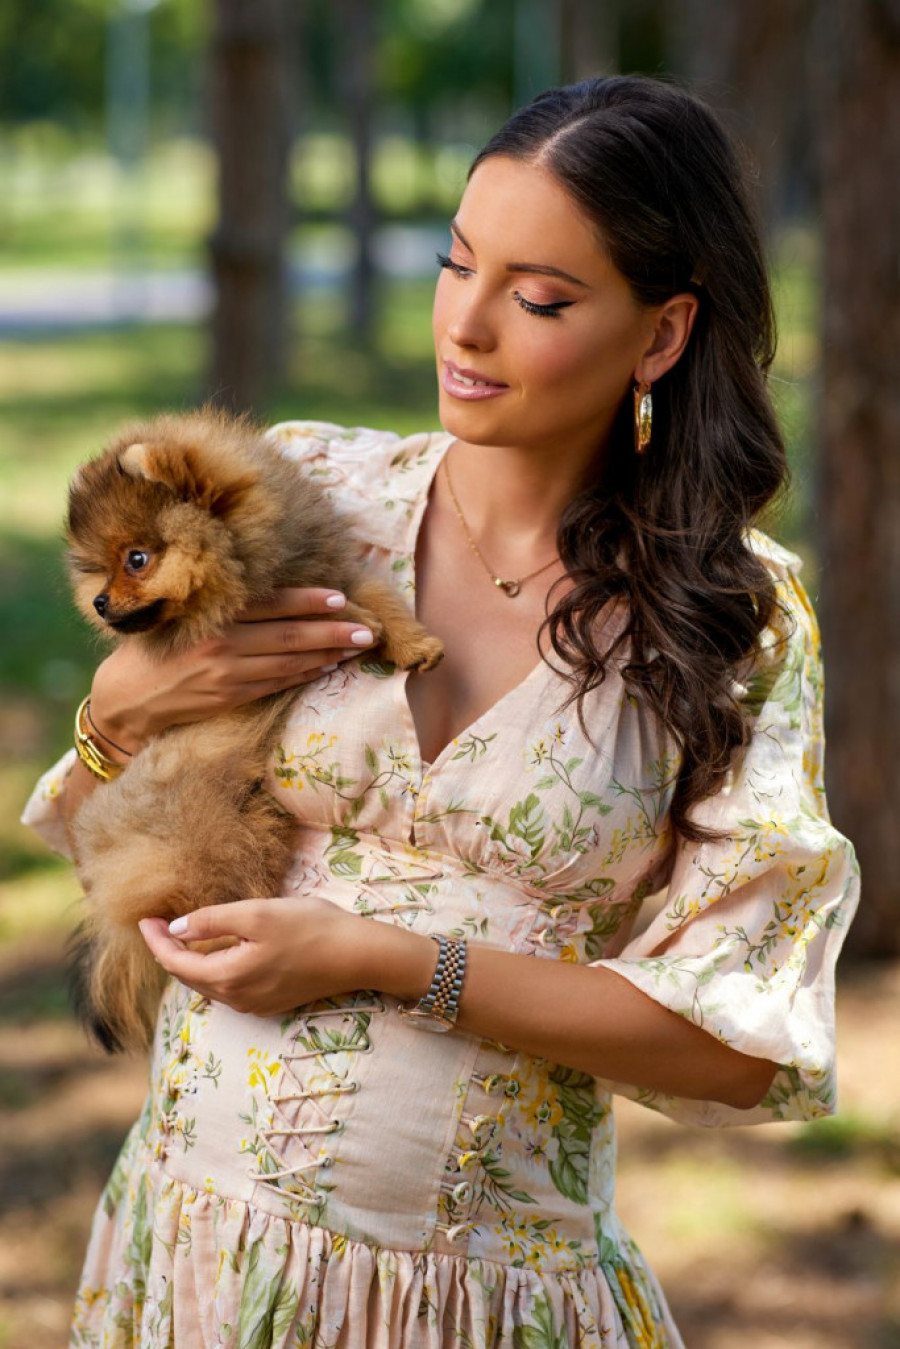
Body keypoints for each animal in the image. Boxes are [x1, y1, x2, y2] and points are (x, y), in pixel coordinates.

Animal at [65, 407, 443, 1053]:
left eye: (135, 559)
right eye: (98, 570)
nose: (99, 603)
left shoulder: (334, 575)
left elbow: (378, 599)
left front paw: (416, 644)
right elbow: (358, 610)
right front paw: (368, 626)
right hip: (207, 846)